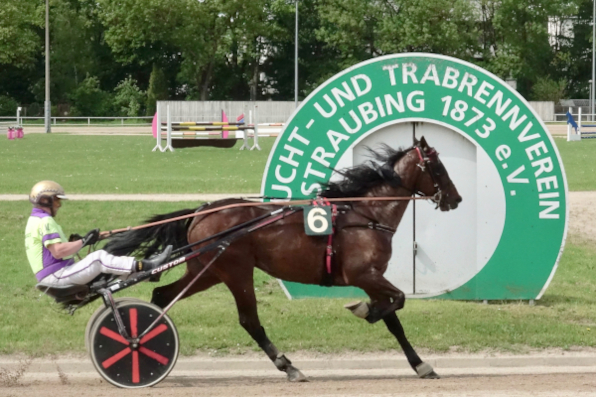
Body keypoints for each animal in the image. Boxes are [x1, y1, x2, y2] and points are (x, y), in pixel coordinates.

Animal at [105, 135, 464, 380]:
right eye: (437, 166)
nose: (456, 198)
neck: (365, 213)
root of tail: (203, 211)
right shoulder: (365, 274)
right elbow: (398, 301)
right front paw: (366, 311)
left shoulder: (372, 278)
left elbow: (394, 320)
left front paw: (421, 364)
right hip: (235, 271)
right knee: (249, 320)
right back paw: (288, 366)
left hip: (206, 271)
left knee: (162, 295)